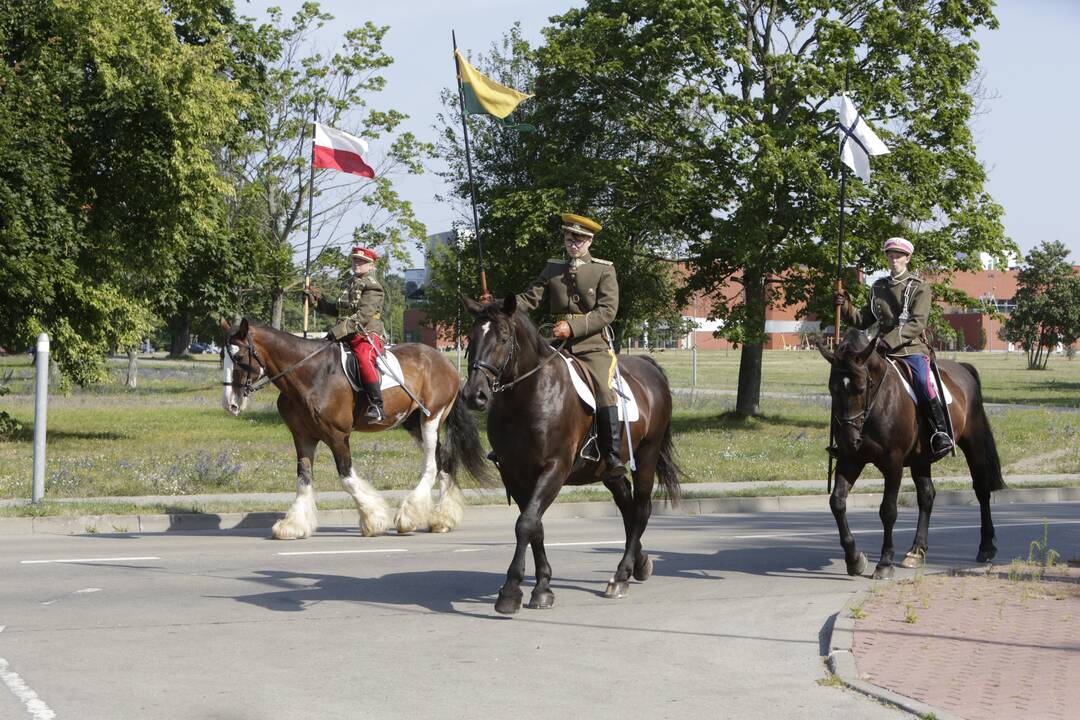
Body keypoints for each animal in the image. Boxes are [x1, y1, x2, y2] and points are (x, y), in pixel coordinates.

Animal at [219, 317, 490, 537]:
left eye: (239, 358)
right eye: (223, 358)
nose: (229, 404)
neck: (309, 374)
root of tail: (445, 362)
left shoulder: (337, 436)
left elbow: (347, 479)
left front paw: (374, 520)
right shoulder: (303, 437)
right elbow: (303, 478)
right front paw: (294, 525)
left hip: (430, 419)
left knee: (432, 465)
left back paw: (409, 516)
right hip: (413, 422)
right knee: (442, 459)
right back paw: (442, 519)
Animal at [457, 295, 678, 617]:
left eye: (504, 337)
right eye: (471, 338)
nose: (474, 395)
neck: (527, 397)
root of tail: (649, 368)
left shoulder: (554, 469)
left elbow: (525, 523)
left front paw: (511, 591)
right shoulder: (514, 474)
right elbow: (534, 525)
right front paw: (542, 587)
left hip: (647, 456)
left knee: (641, 509)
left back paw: (621, 575)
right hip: (607, 470)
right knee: (627, 507)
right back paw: (639, 563)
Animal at [816, 328, 1002, 578]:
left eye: (861, 388)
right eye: (832, 389)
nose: (847, 439)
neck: (877, 402)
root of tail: (963, 369)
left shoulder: (892, 463)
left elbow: (888, 510)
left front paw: (884, 563)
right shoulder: (851, 459)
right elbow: (837, 502)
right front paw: (854, 559)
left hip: (974, 443)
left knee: (982, 490)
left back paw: (986, 547)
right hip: (920, 459)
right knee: (927, 496)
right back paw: (916, 551)